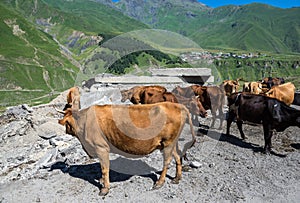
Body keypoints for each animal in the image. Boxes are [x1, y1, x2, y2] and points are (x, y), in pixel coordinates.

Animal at [58, 102, 197, 196]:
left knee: (167, 161)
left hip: (168, 143)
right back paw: (177, 178)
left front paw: (105, 189)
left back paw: (159, 183)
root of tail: (178, 105)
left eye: (67, 123)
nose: (66, 130)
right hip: (170, 143)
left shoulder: (101, 148)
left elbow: (104, 169)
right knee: (177, 157)